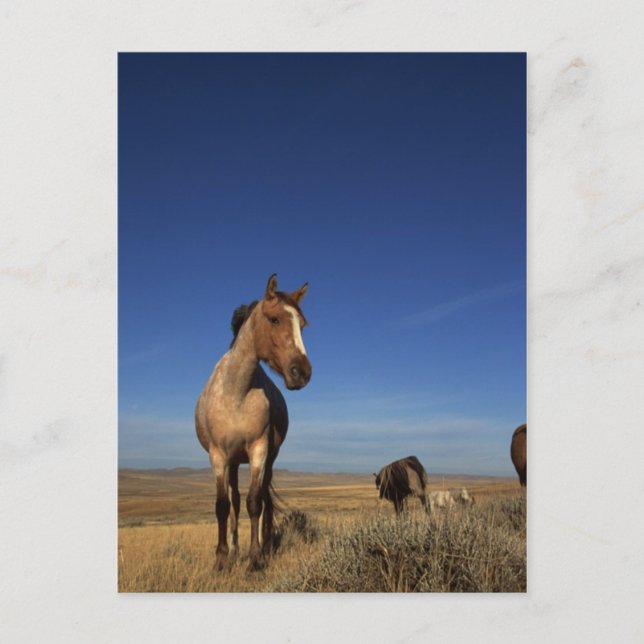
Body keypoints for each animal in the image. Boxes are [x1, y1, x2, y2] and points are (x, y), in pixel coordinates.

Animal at [195, 274, 312, 570]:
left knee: (263, 501)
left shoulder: (259, 450)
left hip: (267, 458)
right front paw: (222, 558)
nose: (302, 373)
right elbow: (223, 505)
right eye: (274, 319)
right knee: (235, 501)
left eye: (302, 324)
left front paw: (256, 559)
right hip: (234, 462)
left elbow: (255, 503)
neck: (236, 391)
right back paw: (236, 548)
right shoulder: (218, 455)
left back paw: (266, 544)